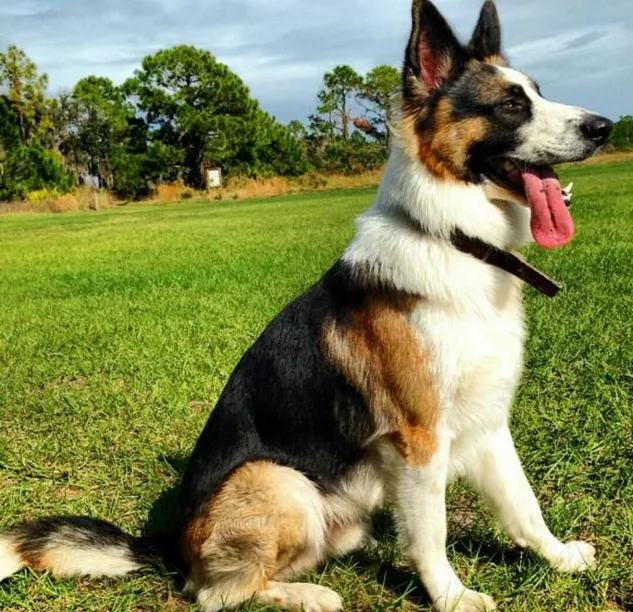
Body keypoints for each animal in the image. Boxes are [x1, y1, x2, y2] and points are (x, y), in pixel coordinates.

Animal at [0, 1, 612, 612]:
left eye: (537, 92)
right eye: (511, 105)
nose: (603, 127)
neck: (453, 237)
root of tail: (170, 546)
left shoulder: (487, 424)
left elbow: (524, 506)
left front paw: (559, 558)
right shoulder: (419, 440)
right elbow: (432, 534)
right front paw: (452, 596)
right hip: (281, 482)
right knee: (215, 593)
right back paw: (309, 595)